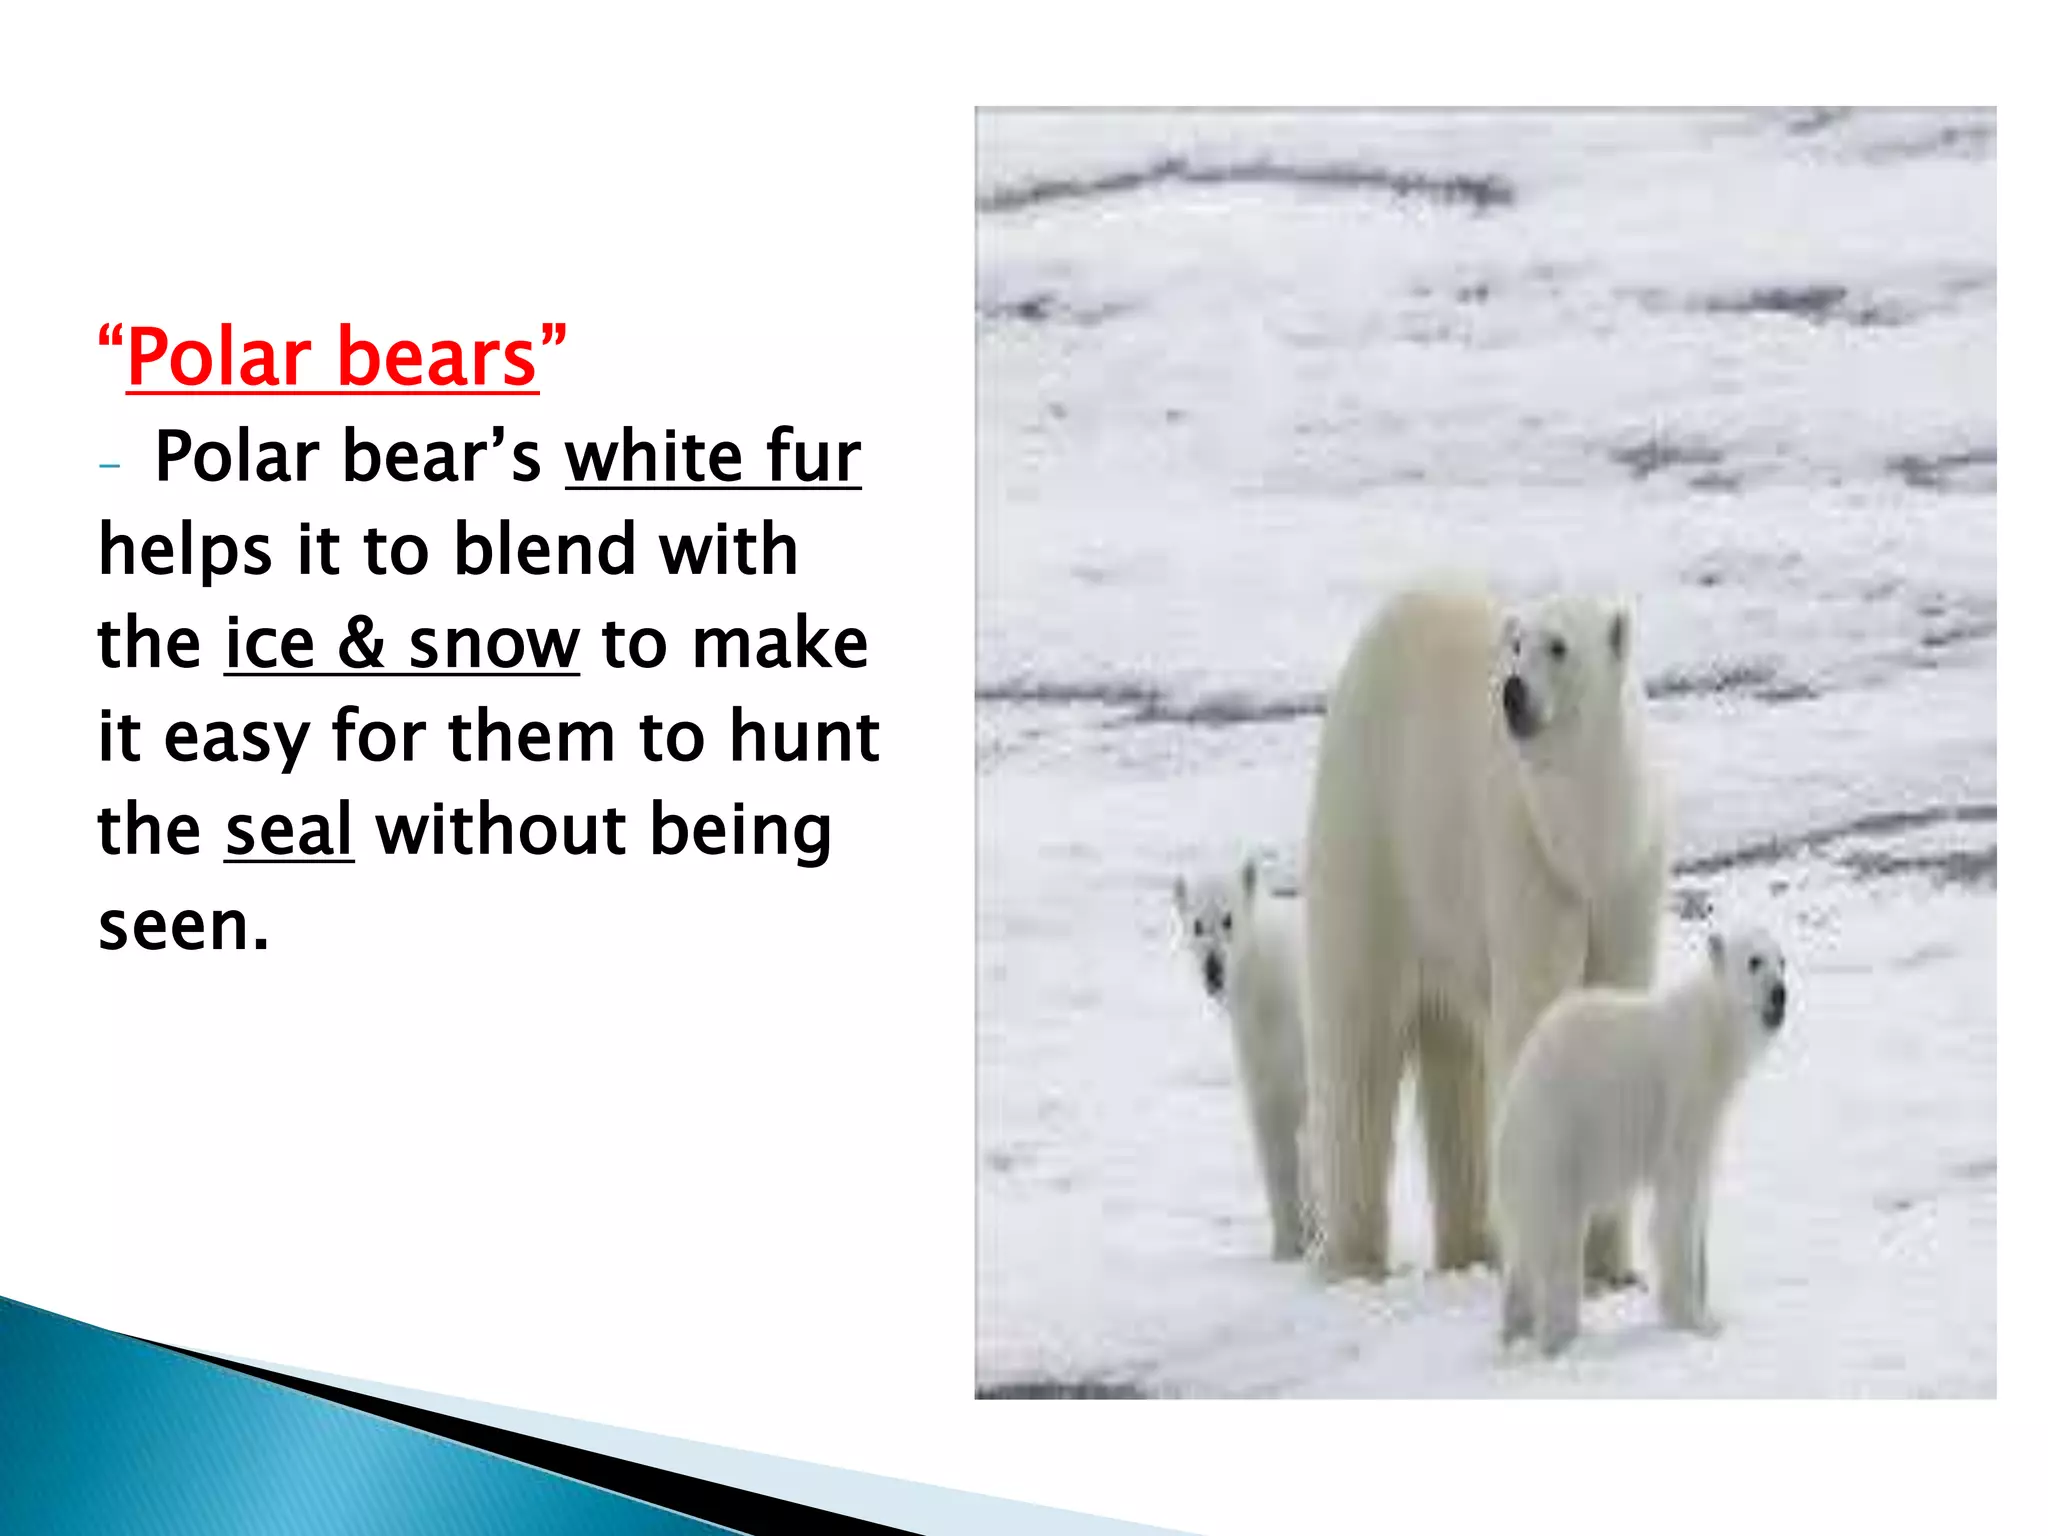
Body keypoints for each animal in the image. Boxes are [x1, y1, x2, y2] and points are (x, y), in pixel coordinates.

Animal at [1174, 858, 1315, 1259]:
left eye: (1228, 919)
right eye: (1197, 924)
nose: (1214, 969)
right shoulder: (1257, 1046)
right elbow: (1271, 1129)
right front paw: (1286, 1244)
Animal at [1303, 583, 1665, 1282]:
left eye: (1559, 645)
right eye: (1516, 645)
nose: (1512, 693)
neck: (1583, 839)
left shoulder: (1629, 877)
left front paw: (1612, 1266)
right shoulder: (1524, 856)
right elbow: (1534, 1013)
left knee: (1455, 1066)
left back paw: (1471, 1247)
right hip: (1377, 832)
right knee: (1359, 1040)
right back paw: (1354, 1256)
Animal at [1492, 926, 1788, 1355]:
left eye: (1783, 960)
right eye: (1754, 961)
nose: (1780, 993)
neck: (1713, 1030)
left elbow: (1701, 1196)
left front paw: (1708, 1311)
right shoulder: (1686, 1090)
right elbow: (1679, 1202)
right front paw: (1695, 1322)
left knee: (1526, 1248)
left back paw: (1514, 1330)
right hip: (1558, 1138)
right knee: (1558, 1243)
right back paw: (1559, 1338)